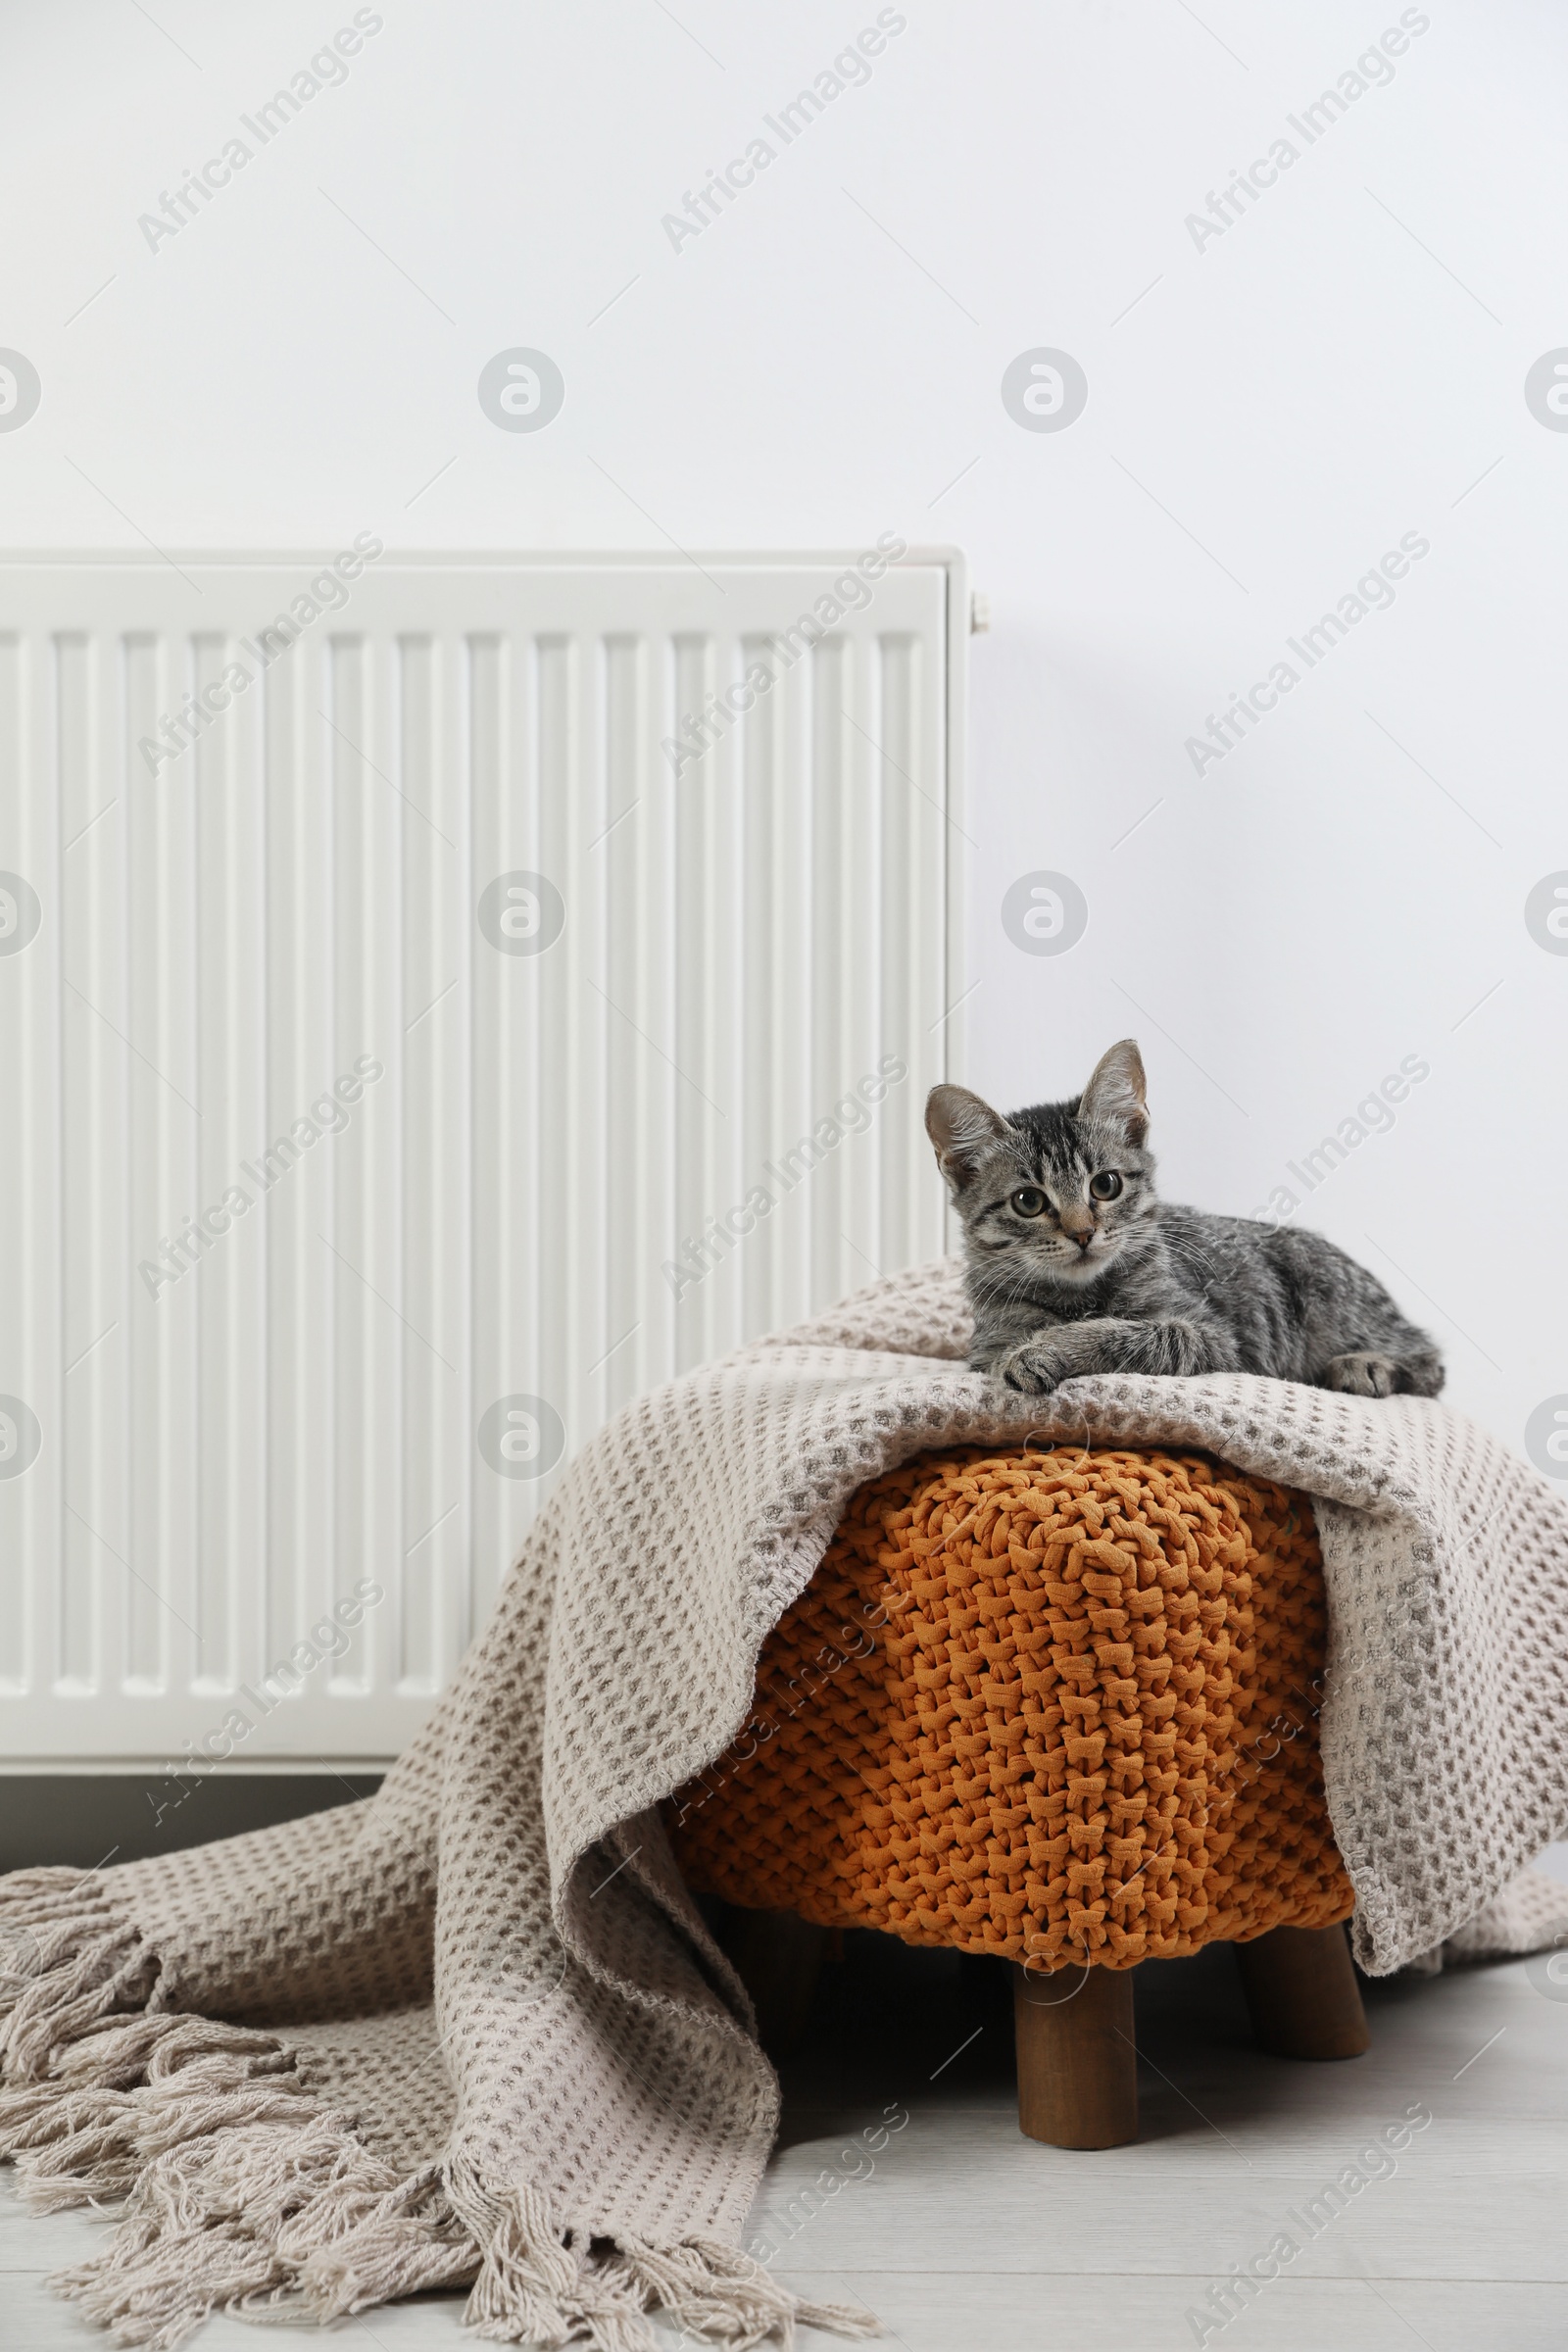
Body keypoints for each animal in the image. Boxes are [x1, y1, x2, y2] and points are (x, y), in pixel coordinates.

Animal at [926, 1044, 1457, 1401]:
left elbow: (1139, 1333)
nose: (1081, 1233)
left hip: (1332, 1302)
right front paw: (1028, 1349)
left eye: (1105, 1185)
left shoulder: (1218, 1337)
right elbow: (999, 1354)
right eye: (1028, 1201)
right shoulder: (985, 1344)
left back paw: (1364, 1367)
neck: (1082, 1295)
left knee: (1428, 1360)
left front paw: (1052, 1347)